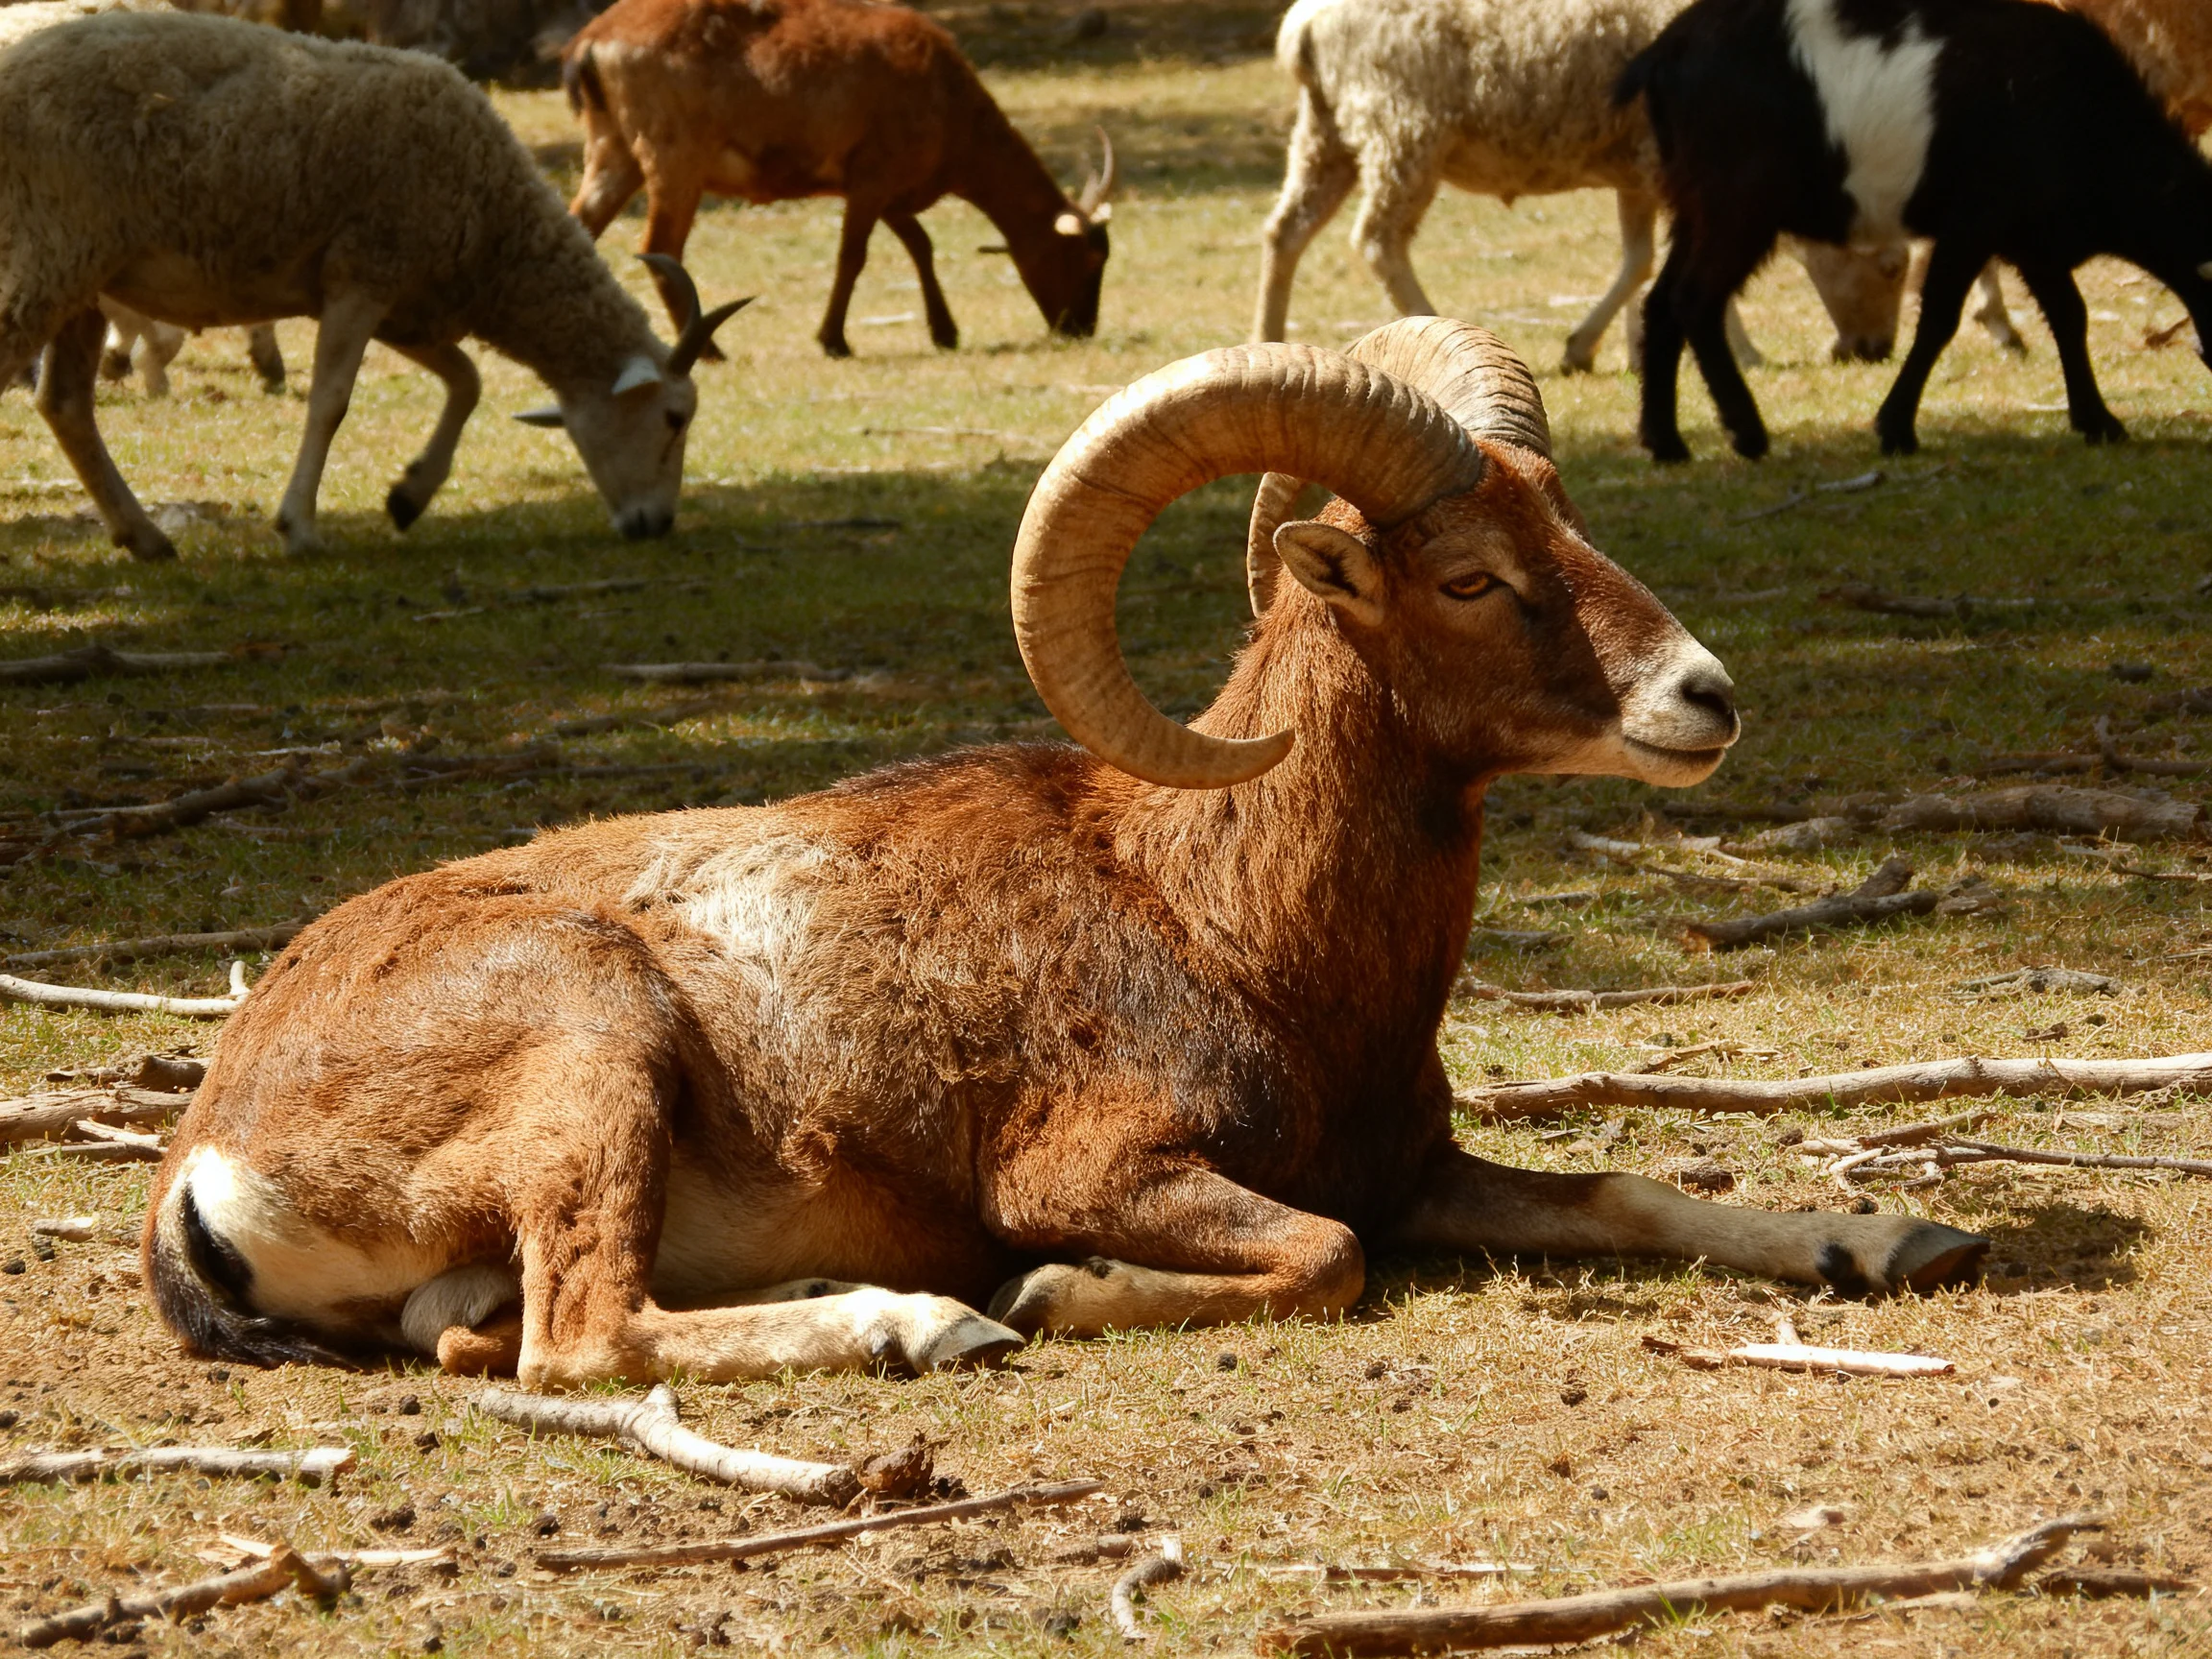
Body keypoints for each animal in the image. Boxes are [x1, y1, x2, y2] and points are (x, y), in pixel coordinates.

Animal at [0, 10, 746, 560]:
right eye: (675, 417)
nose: (658, 524)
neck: (498, 230)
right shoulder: (363, 272)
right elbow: (331, 402)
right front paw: (299, 528)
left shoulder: (405, 299)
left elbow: (468, 380)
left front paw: (409, 496)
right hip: (49, 250)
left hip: (81, 275)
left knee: (64, 403)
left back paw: (144, 536)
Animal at [141, 316, 1985, 1387]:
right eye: (1468, 574)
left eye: (1567, 522)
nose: (1701, 696)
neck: (1219, 917)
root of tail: (209, 1164)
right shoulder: (1109, 1167)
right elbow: (1321, 1260)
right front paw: (1040, 1295)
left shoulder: (1416, 1169)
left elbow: (1622, 1188)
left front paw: (1890, 1244)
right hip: (599, 1052)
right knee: (576, 1344)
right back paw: (926, 1322)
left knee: (486, 1338)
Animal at [561, 0, 1115, 359]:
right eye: (1086, 257)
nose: (1080, 327)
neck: (954, 123)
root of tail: (588, 47)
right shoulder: (873, 171)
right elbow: (854, 255)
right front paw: (834, 339)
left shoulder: (891, 186)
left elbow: (921, 245)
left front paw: (945, 331)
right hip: (674, 152)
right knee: (660, 246)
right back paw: (710, 349)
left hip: (612, 148)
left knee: (579, 226)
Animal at [1252, 0, 1914, 371]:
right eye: (1890, 267)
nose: (1872, 350)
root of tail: (1303, 23)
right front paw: (1743, 353)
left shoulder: (1640, 167)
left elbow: (1639, 261)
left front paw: (1615, 348)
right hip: (1401, 127)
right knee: (1378, 241)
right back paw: (1435, 325)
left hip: (1327, 133)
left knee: (1286, 233)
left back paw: (1267, 340)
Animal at [1621, 0, 2212, 463]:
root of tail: (1662, 53)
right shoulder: (1974, 222)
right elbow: (1939, 321)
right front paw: (1896, 428)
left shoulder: (2031, 238)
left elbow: (2070, 316)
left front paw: (2097, 421)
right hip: (1739, 203)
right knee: (1696, 299)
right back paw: (1745, 432)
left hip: (1694, 201)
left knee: (1663, 302)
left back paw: (1665, 441)